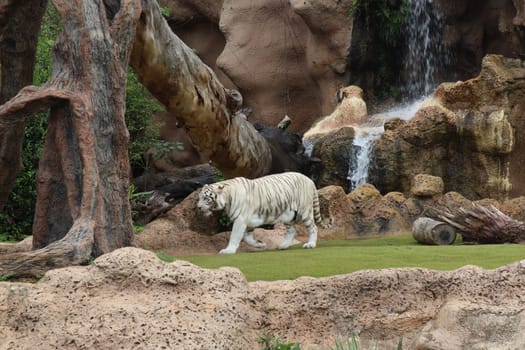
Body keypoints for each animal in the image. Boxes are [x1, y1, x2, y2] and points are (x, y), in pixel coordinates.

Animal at [196, 171, 328, 253]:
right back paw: (283, 246)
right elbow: (247, 238)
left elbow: (235, 235)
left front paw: (228, 250)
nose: (198, 207)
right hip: (288, 215)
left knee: (313, 227)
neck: (227, 197)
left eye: (206, 198)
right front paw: (260, 244)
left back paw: (310, 244)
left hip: (304, 211)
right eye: (199, 197)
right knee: (292, 230)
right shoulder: (248, 222)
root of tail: (309, 179)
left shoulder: (240, 219)